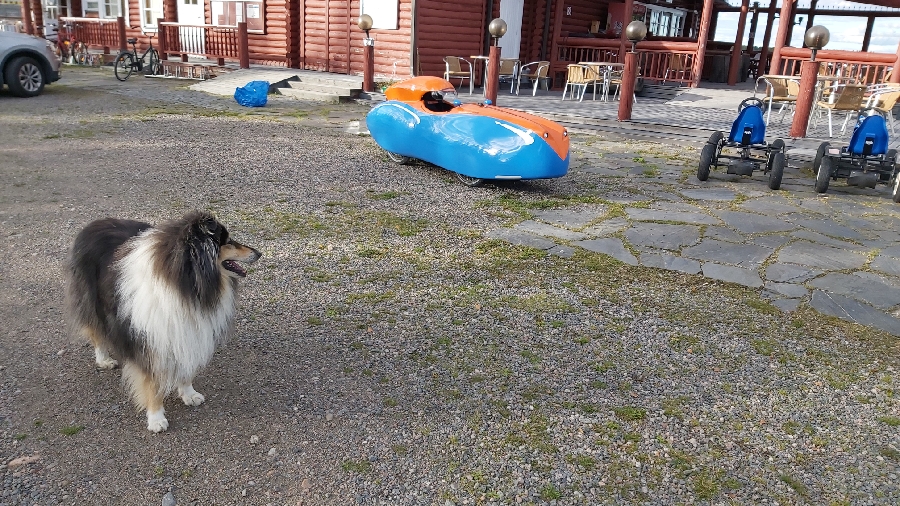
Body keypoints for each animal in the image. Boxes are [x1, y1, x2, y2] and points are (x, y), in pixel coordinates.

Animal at [66, 211, 260, 432]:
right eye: (227, 241)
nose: (259, 253)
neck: (186, 286)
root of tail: (92, 224)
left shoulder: (184, 330)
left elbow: (185, 367)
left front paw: (189, 393)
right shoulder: (148, 338)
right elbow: (152, 383)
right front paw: (156, 418)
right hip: (92, 301)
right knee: (96, 332)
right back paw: (104, 359)